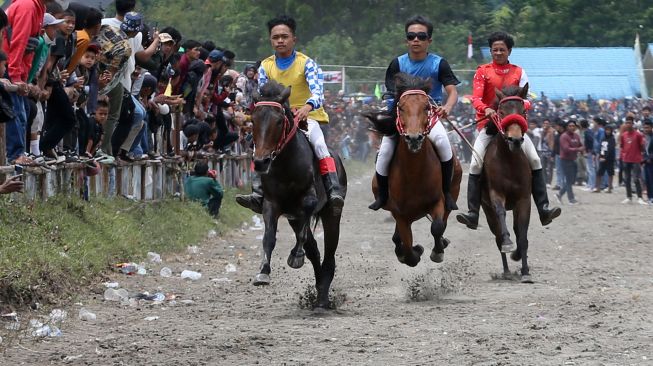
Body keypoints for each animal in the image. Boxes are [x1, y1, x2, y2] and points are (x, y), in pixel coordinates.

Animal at [247, 80, 346, 308]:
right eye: (253, 119)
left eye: (278, 121)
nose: (261, 162)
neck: (286, 164)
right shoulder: (272, 204)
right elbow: (269, 237)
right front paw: (263, 272)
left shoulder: (308, 202)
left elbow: (303, 232)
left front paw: (296, 257)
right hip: (293, 217)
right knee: (315, 250)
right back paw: (320, 289)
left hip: (331, 214)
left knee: (329, 252)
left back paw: (323, 297)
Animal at [366, 73, 464, 268]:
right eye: (400, 107)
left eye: (427, 107)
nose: (414, 138)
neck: (414, 173)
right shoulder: (400, 214)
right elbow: (408, 248)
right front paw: (414, 252)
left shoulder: (437, 201)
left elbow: (437, 227)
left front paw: (437, 252)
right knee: (398, 237)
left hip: (454, 191)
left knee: (445, 218)